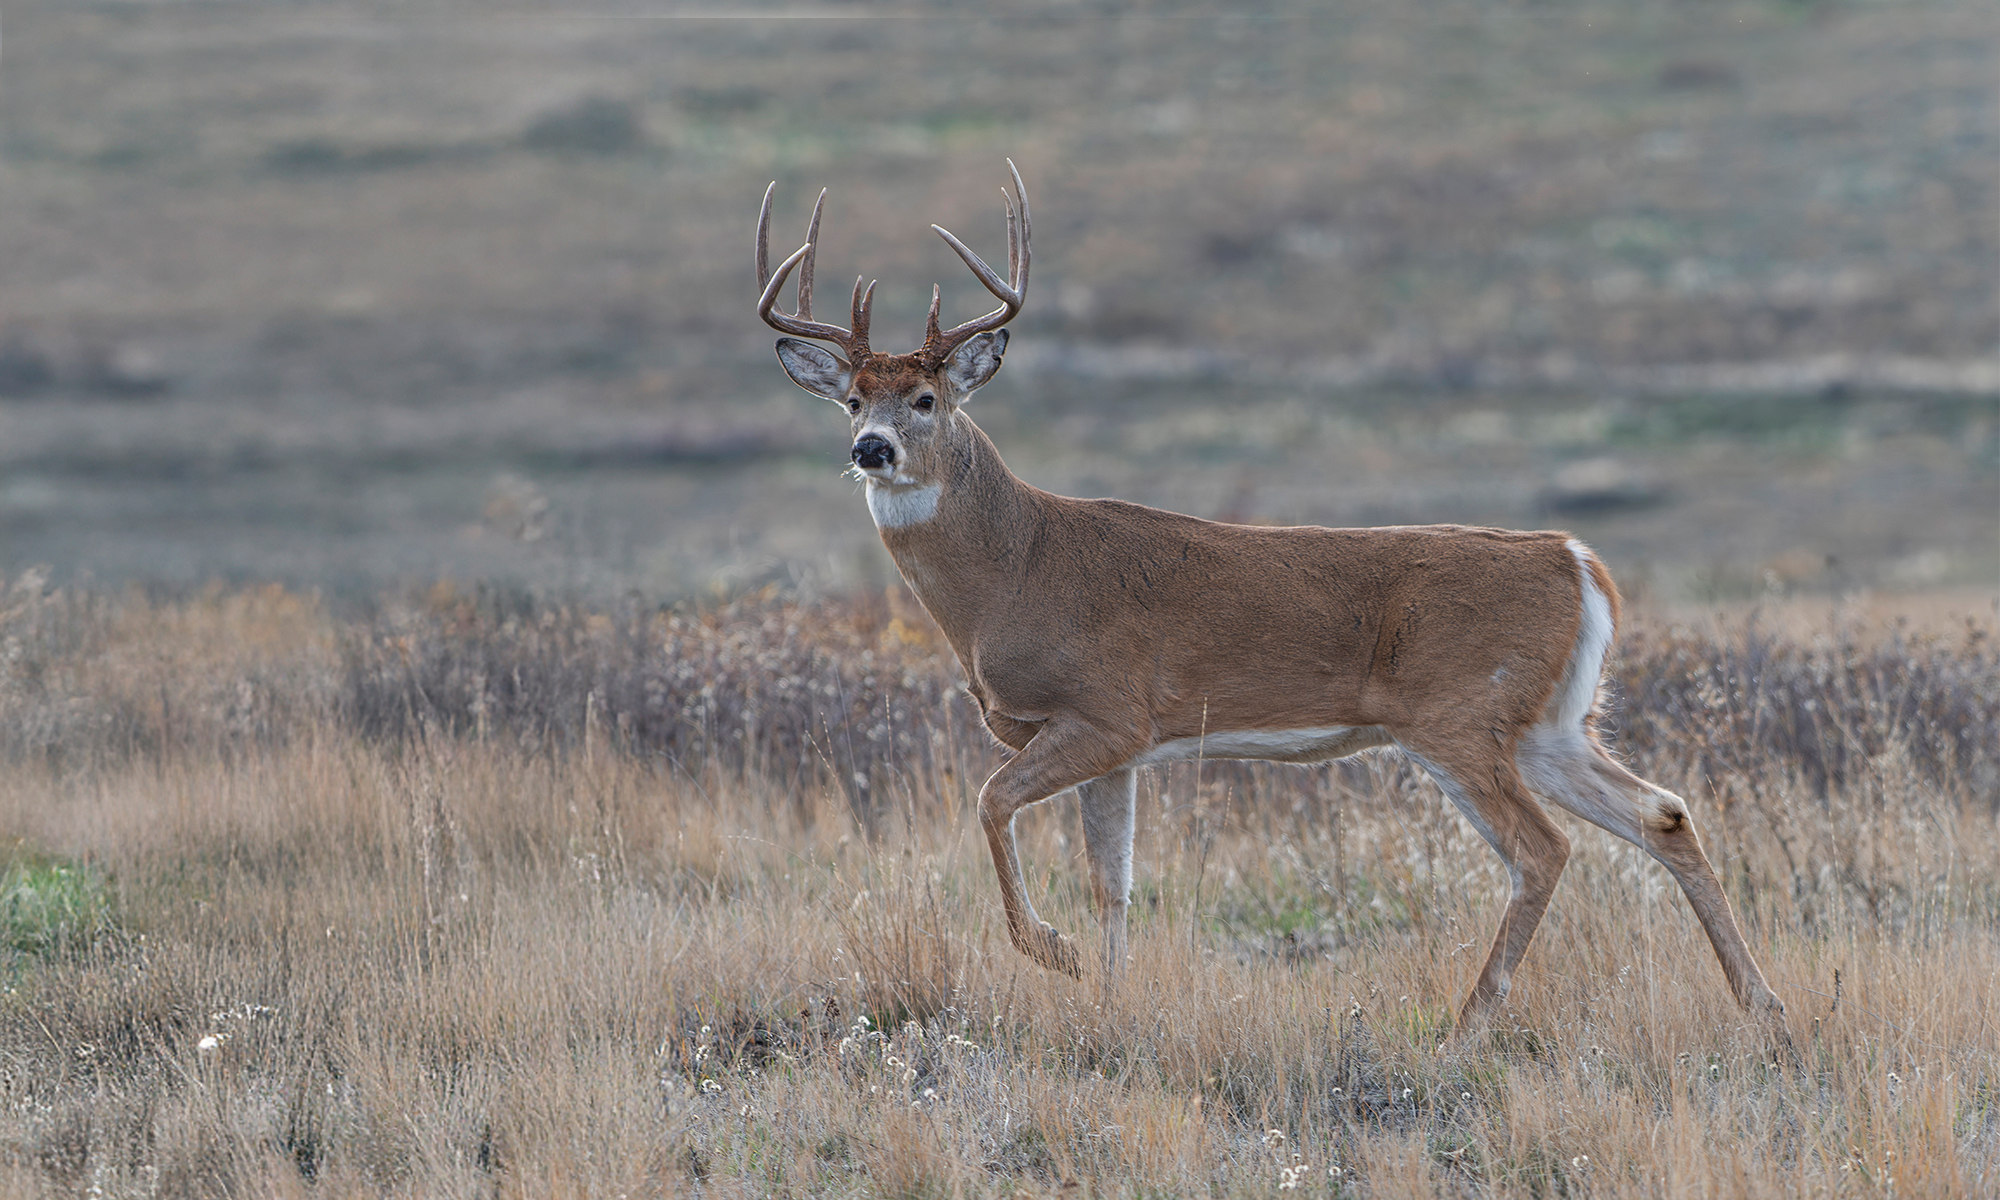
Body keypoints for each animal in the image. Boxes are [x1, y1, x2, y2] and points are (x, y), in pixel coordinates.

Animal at [754, 161, 1789, 1039]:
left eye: (927, 398)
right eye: (853, 399)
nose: (872, 449)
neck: (1013, 570)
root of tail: (1576, 560)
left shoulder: (1105, 711)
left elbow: (992, 803)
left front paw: (1052, 954)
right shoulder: (1118, 747)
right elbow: (1112, 881)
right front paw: (1109, 1002)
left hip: (1458, 713)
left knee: (1542, 851)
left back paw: (1467, 1025)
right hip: (1550, 721)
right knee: (1663, 813)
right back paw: (1764, 1005)